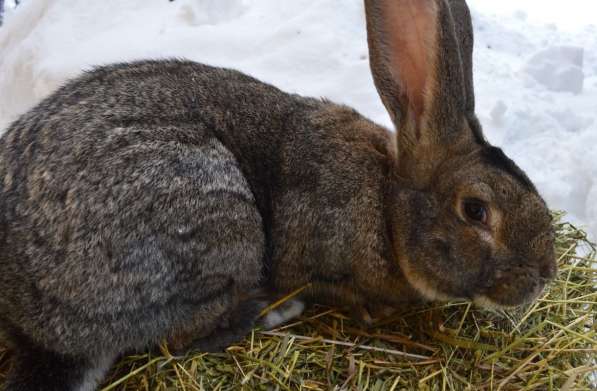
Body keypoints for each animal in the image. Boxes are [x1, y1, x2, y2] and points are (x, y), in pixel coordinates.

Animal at [0, 0, 556, 390]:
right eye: (476, 211)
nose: (544, 275)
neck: (385, 204)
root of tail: (43, 326)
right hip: (217, 216)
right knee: (181, 337)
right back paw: (274, 312)